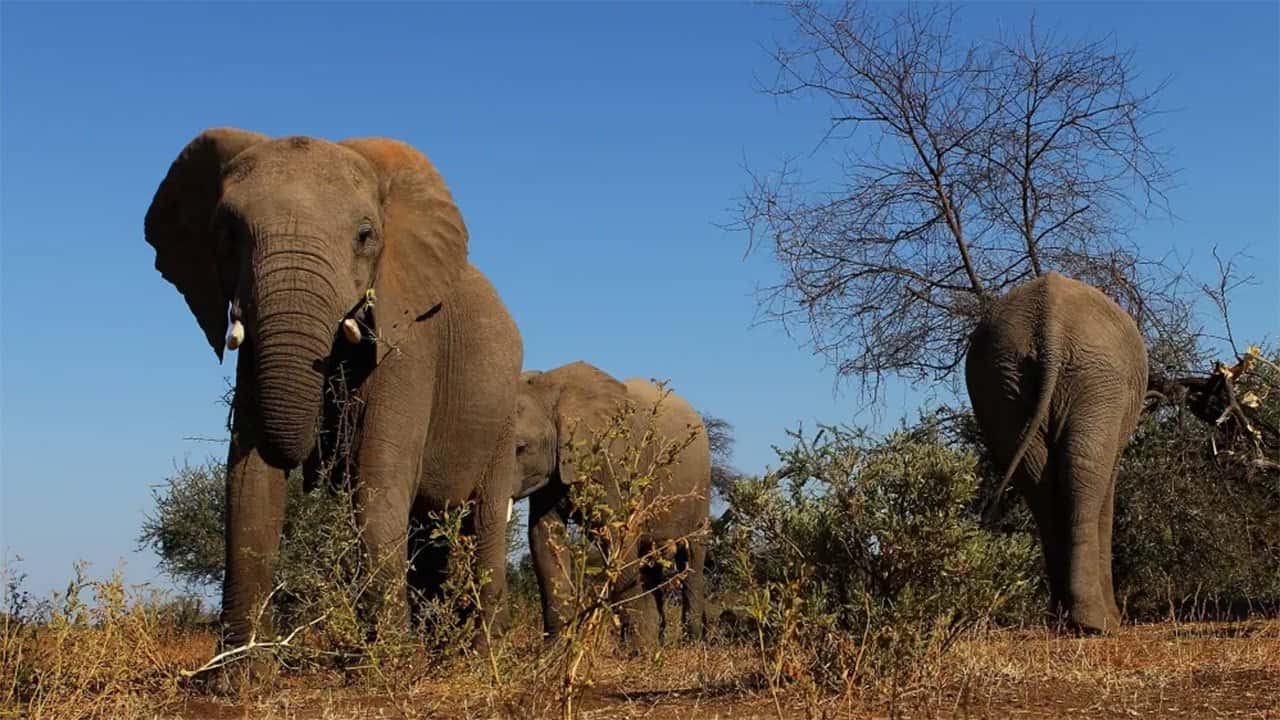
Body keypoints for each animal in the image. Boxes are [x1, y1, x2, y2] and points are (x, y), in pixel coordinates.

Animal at [143, 128, 523, 650]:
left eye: (365, 236)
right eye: (227, 233)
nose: (312, 463)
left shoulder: (411, 339)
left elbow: (378, 480)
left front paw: (391, 661)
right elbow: (248, 485)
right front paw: (237, 667)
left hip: (503, 417)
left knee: (481, 523)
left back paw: (479, 654)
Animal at [511, 361, 712, 649]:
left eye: (521, 448)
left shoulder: (614, 462)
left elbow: (619, 536)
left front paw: (639, 650)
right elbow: (545, 538)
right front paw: (553, 652)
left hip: (701, 487)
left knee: (691, 557)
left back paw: (690, 643)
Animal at [965, 271, 1147, 634]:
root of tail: (1049, 325)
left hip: (1001, 381)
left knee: (1039, 481)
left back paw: (1064, 620)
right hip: (1098, 377)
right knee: (1085, 469)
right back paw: (1096, 625)